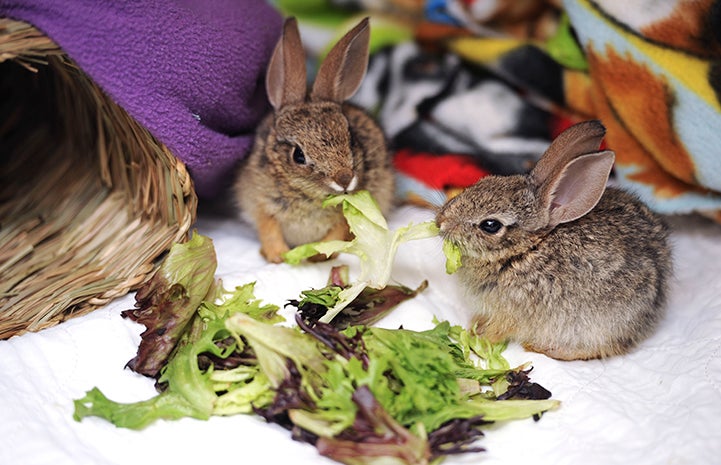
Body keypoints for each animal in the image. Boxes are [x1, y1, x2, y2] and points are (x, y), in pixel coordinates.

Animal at [234, 17, 395, 263]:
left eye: (351, 139)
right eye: (298, 156)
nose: (345, 179)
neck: (308, 194)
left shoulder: (343, 217)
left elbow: (337, 232)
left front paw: (317, 256)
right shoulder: (262, 203)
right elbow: (268, 228)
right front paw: (278, 256)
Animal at [436, 120, 672, 361]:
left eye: (490, 225)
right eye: (485, 180)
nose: (441, 222)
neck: (526, 250)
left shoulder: (513, 312)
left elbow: (499, 329)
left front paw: (475, 337)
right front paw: (474, 325)